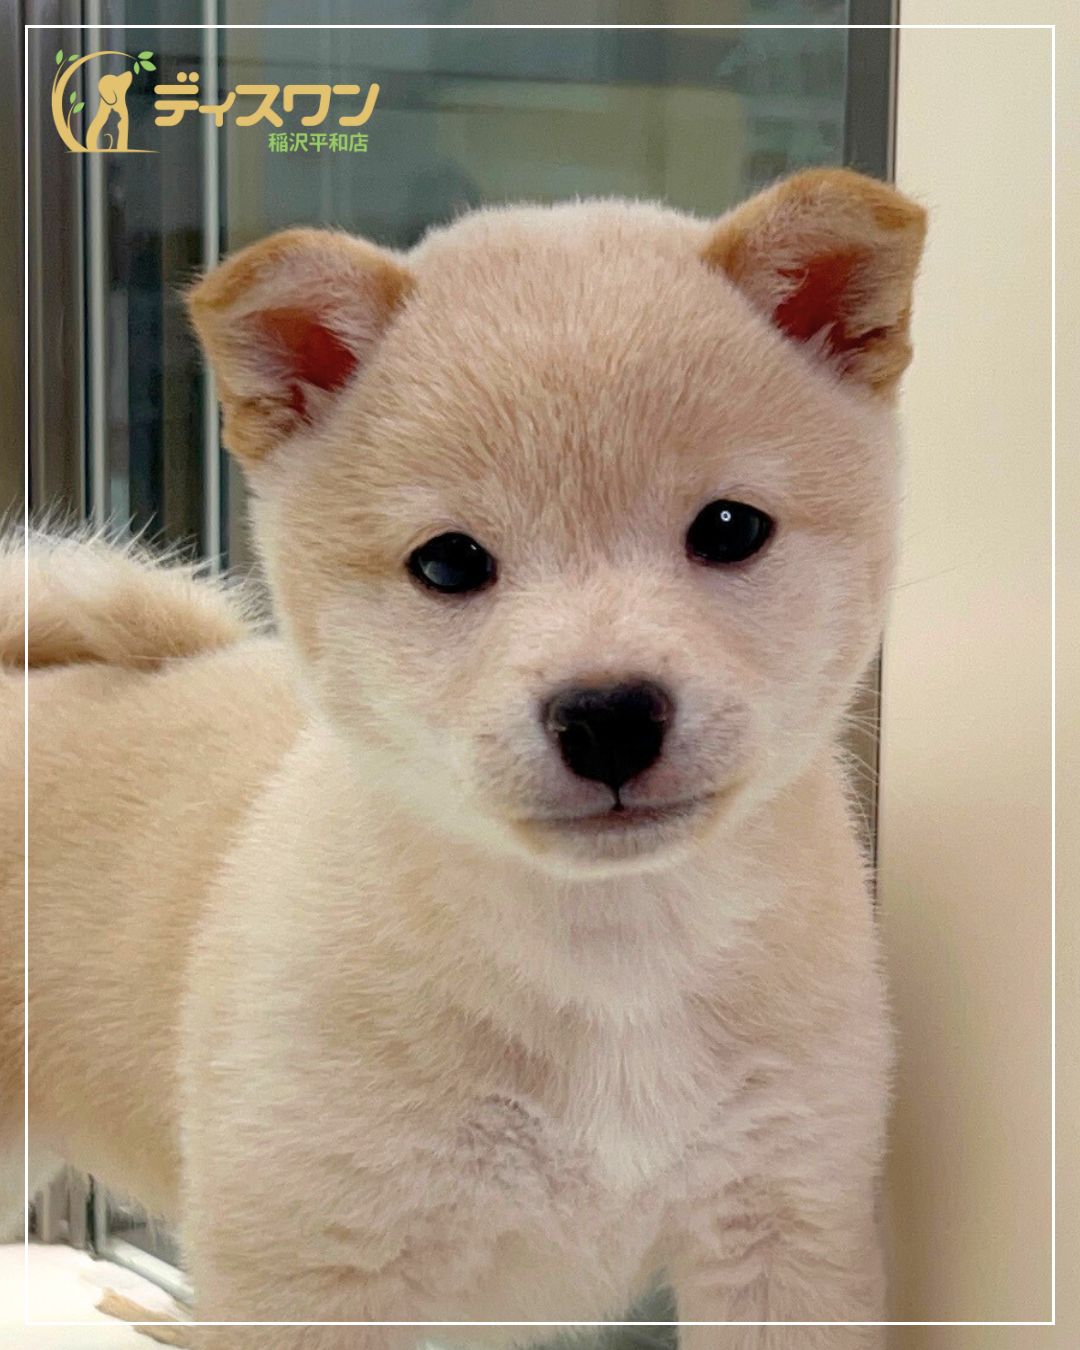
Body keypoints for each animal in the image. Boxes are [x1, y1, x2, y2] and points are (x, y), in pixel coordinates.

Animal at [1, 168, 925, 1347]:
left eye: (729, 528)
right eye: (447, 563)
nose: (609, 715)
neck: (608, 958)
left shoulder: (781, 1230)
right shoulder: (320, 1268)